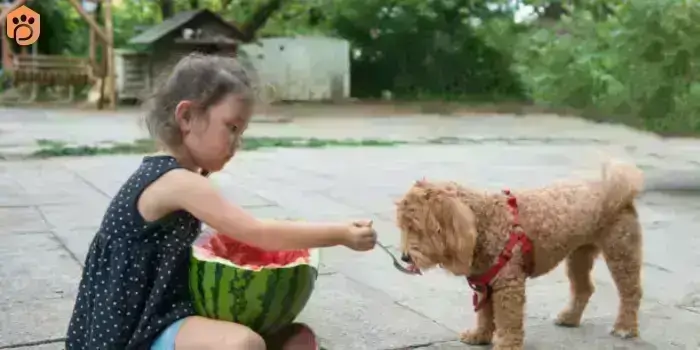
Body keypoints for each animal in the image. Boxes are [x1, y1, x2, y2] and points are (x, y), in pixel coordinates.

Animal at [400, 162, 644, 350]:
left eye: (416, 228)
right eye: (403, 226)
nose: (404, 258)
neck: (485, 221)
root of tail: (621, 191)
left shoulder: (508, 283)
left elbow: (508, 319)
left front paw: (507, 345)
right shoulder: (485, 283)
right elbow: (485, 314)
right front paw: (480, 336)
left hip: (621, 252)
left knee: (631, 292)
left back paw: (625, 327)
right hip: (578, 256)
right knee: (584, 288)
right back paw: (570, 318)